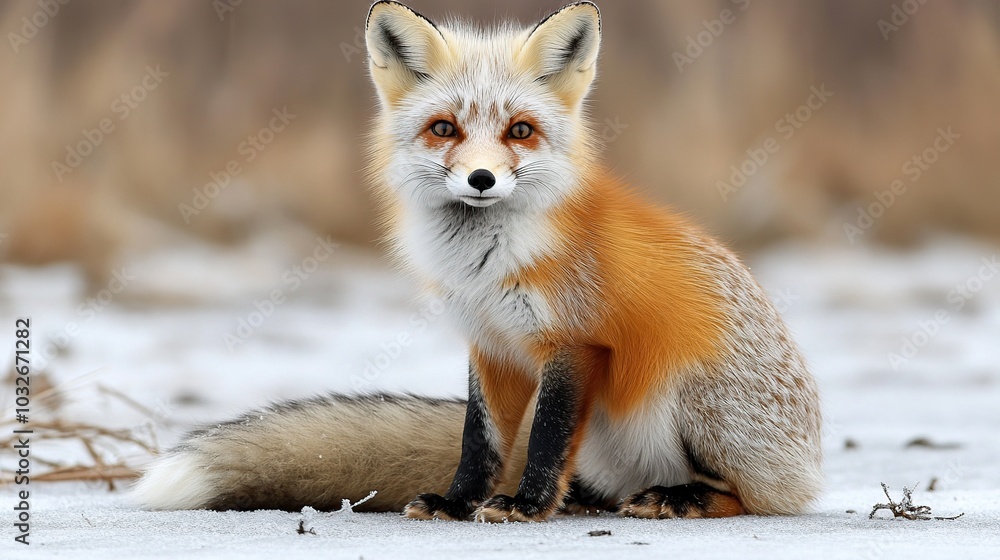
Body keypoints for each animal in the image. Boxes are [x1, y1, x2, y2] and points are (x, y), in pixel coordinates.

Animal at [132, 1, 822, 522]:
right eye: (445, 128)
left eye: (520, 131)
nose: (483, 179)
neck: (485, 266)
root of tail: (809, 467)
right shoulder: (490, 342)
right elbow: (480, 441)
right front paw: (461, 503)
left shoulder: (574, 342)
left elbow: (544, 440)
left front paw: (527, 507)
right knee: (602, 485)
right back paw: (590, 501)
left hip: (692, 398)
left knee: (749, 498)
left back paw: (678, 499)